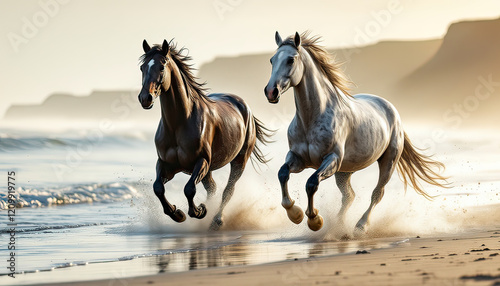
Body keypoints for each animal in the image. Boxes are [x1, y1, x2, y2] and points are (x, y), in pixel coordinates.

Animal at [139, 39, 272, 229]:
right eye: (142, 67)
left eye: (161, 67)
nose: (145, 98)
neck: (179, 123)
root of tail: (244, 106)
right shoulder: (166, 164)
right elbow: (158, 188)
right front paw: (177, 214)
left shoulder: (201, 161)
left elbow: (189, 189)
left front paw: (198, 211)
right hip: (209, 169)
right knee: (213, 188)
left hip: (239, 160)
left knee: (228, 190)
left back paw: (216, 220)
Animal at [264, 31, 448, 232]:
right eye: (272, 60)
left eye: (290, 59)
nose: (271, 92)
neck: (311, 118)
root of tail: (390, 108)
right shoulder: (299, 158)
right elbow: (282, 174)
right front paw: (295, 213)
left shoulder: (332, 160)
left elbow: (311, 183)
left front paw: (314, 220)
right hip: (345, 171)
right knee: (349, 196)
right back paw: (339, 227)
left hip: (387, 162)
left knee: (377, 193)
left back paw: (360, 226)